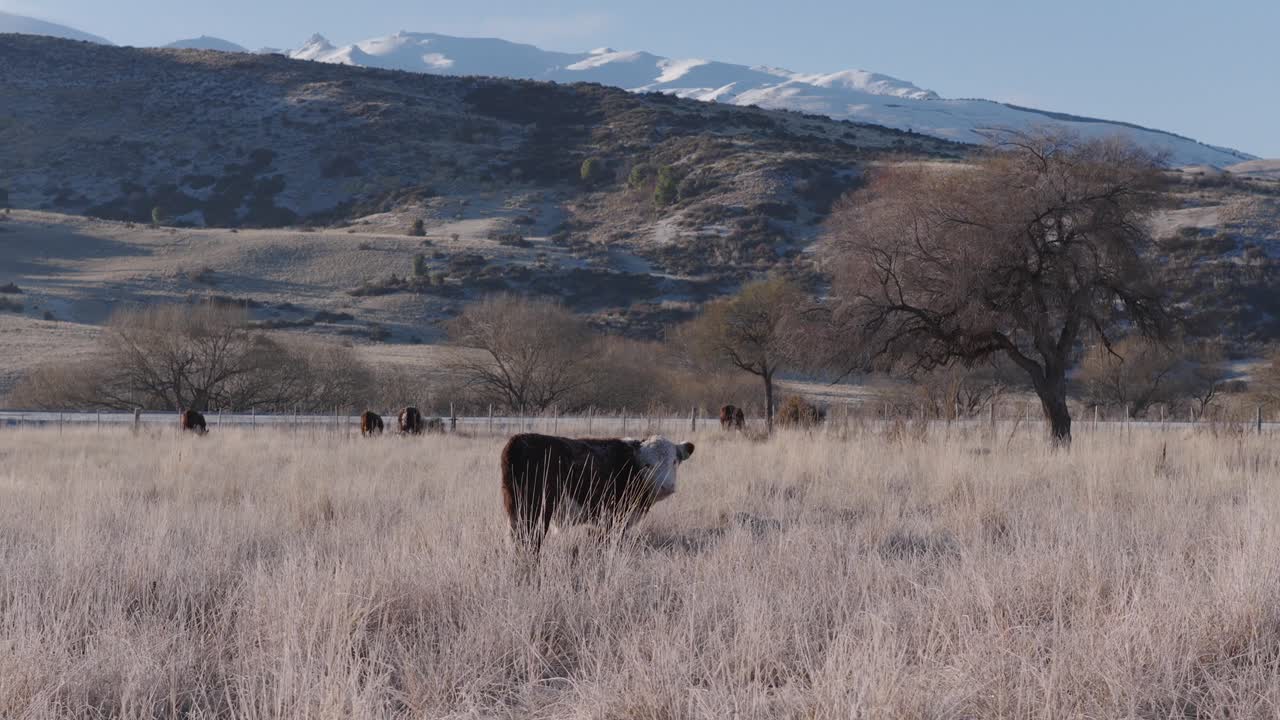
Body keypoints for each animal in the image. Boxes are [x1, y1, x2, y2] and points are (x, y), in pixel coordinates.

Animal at [500, 433, 695, 554]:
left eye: (674, 461)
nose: (667, 486)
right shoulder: (615, 517)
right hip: (535, 513)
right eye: (647, 464)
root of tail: (517, 440)